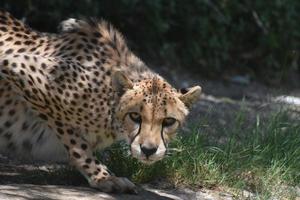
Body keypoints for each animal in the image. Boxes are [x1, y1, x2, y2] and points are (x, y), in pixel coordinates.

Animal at [0, 11, 202, 194]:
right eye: (135, 116)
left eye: (169, 121)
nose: (148, 150)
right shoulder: (17, 66)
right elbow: (77, 142)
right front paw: (103, 177)